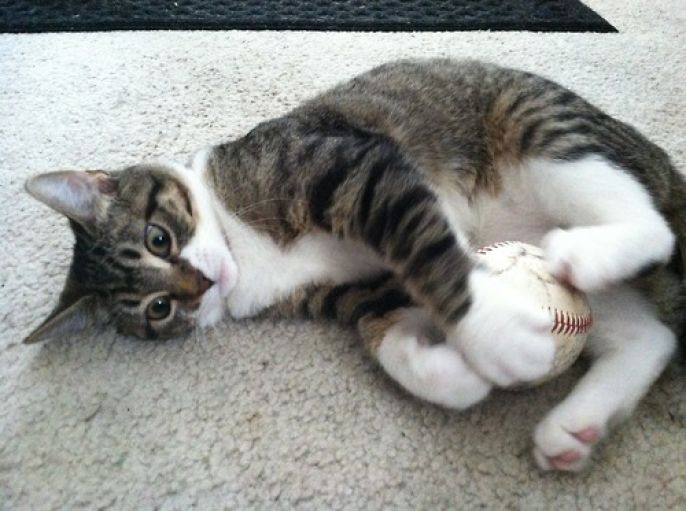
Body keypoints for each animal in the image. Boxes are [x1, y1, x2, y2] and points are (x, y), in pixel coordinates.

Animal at [24, 59, 684, 472]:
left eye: (159, 238)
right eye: (159, 308)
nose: (203, 284)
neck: (241, 244)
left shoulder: (352, 169)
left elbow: (431, 253)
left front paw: (496, 338)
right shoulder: (360, 287)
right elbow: (384, 329)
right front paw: (455, 373)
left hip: (535, 127)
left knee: (647, 224)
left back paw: (589, 249)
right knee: (649, 335)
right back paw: (576, 427)